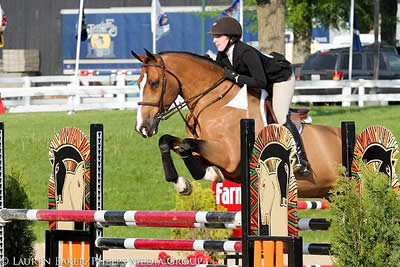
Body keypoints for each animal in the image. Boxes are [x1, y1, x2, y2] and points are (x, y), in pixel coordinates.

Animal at [132, 49, 344, 199]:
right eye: (137, 83)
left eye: (154, 83)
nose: (142, 127)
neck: (215, 102)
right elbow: (168, 141)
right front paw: (183, 183)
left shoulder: (230, 157)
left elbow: (186, 145)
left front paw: (208, 174)